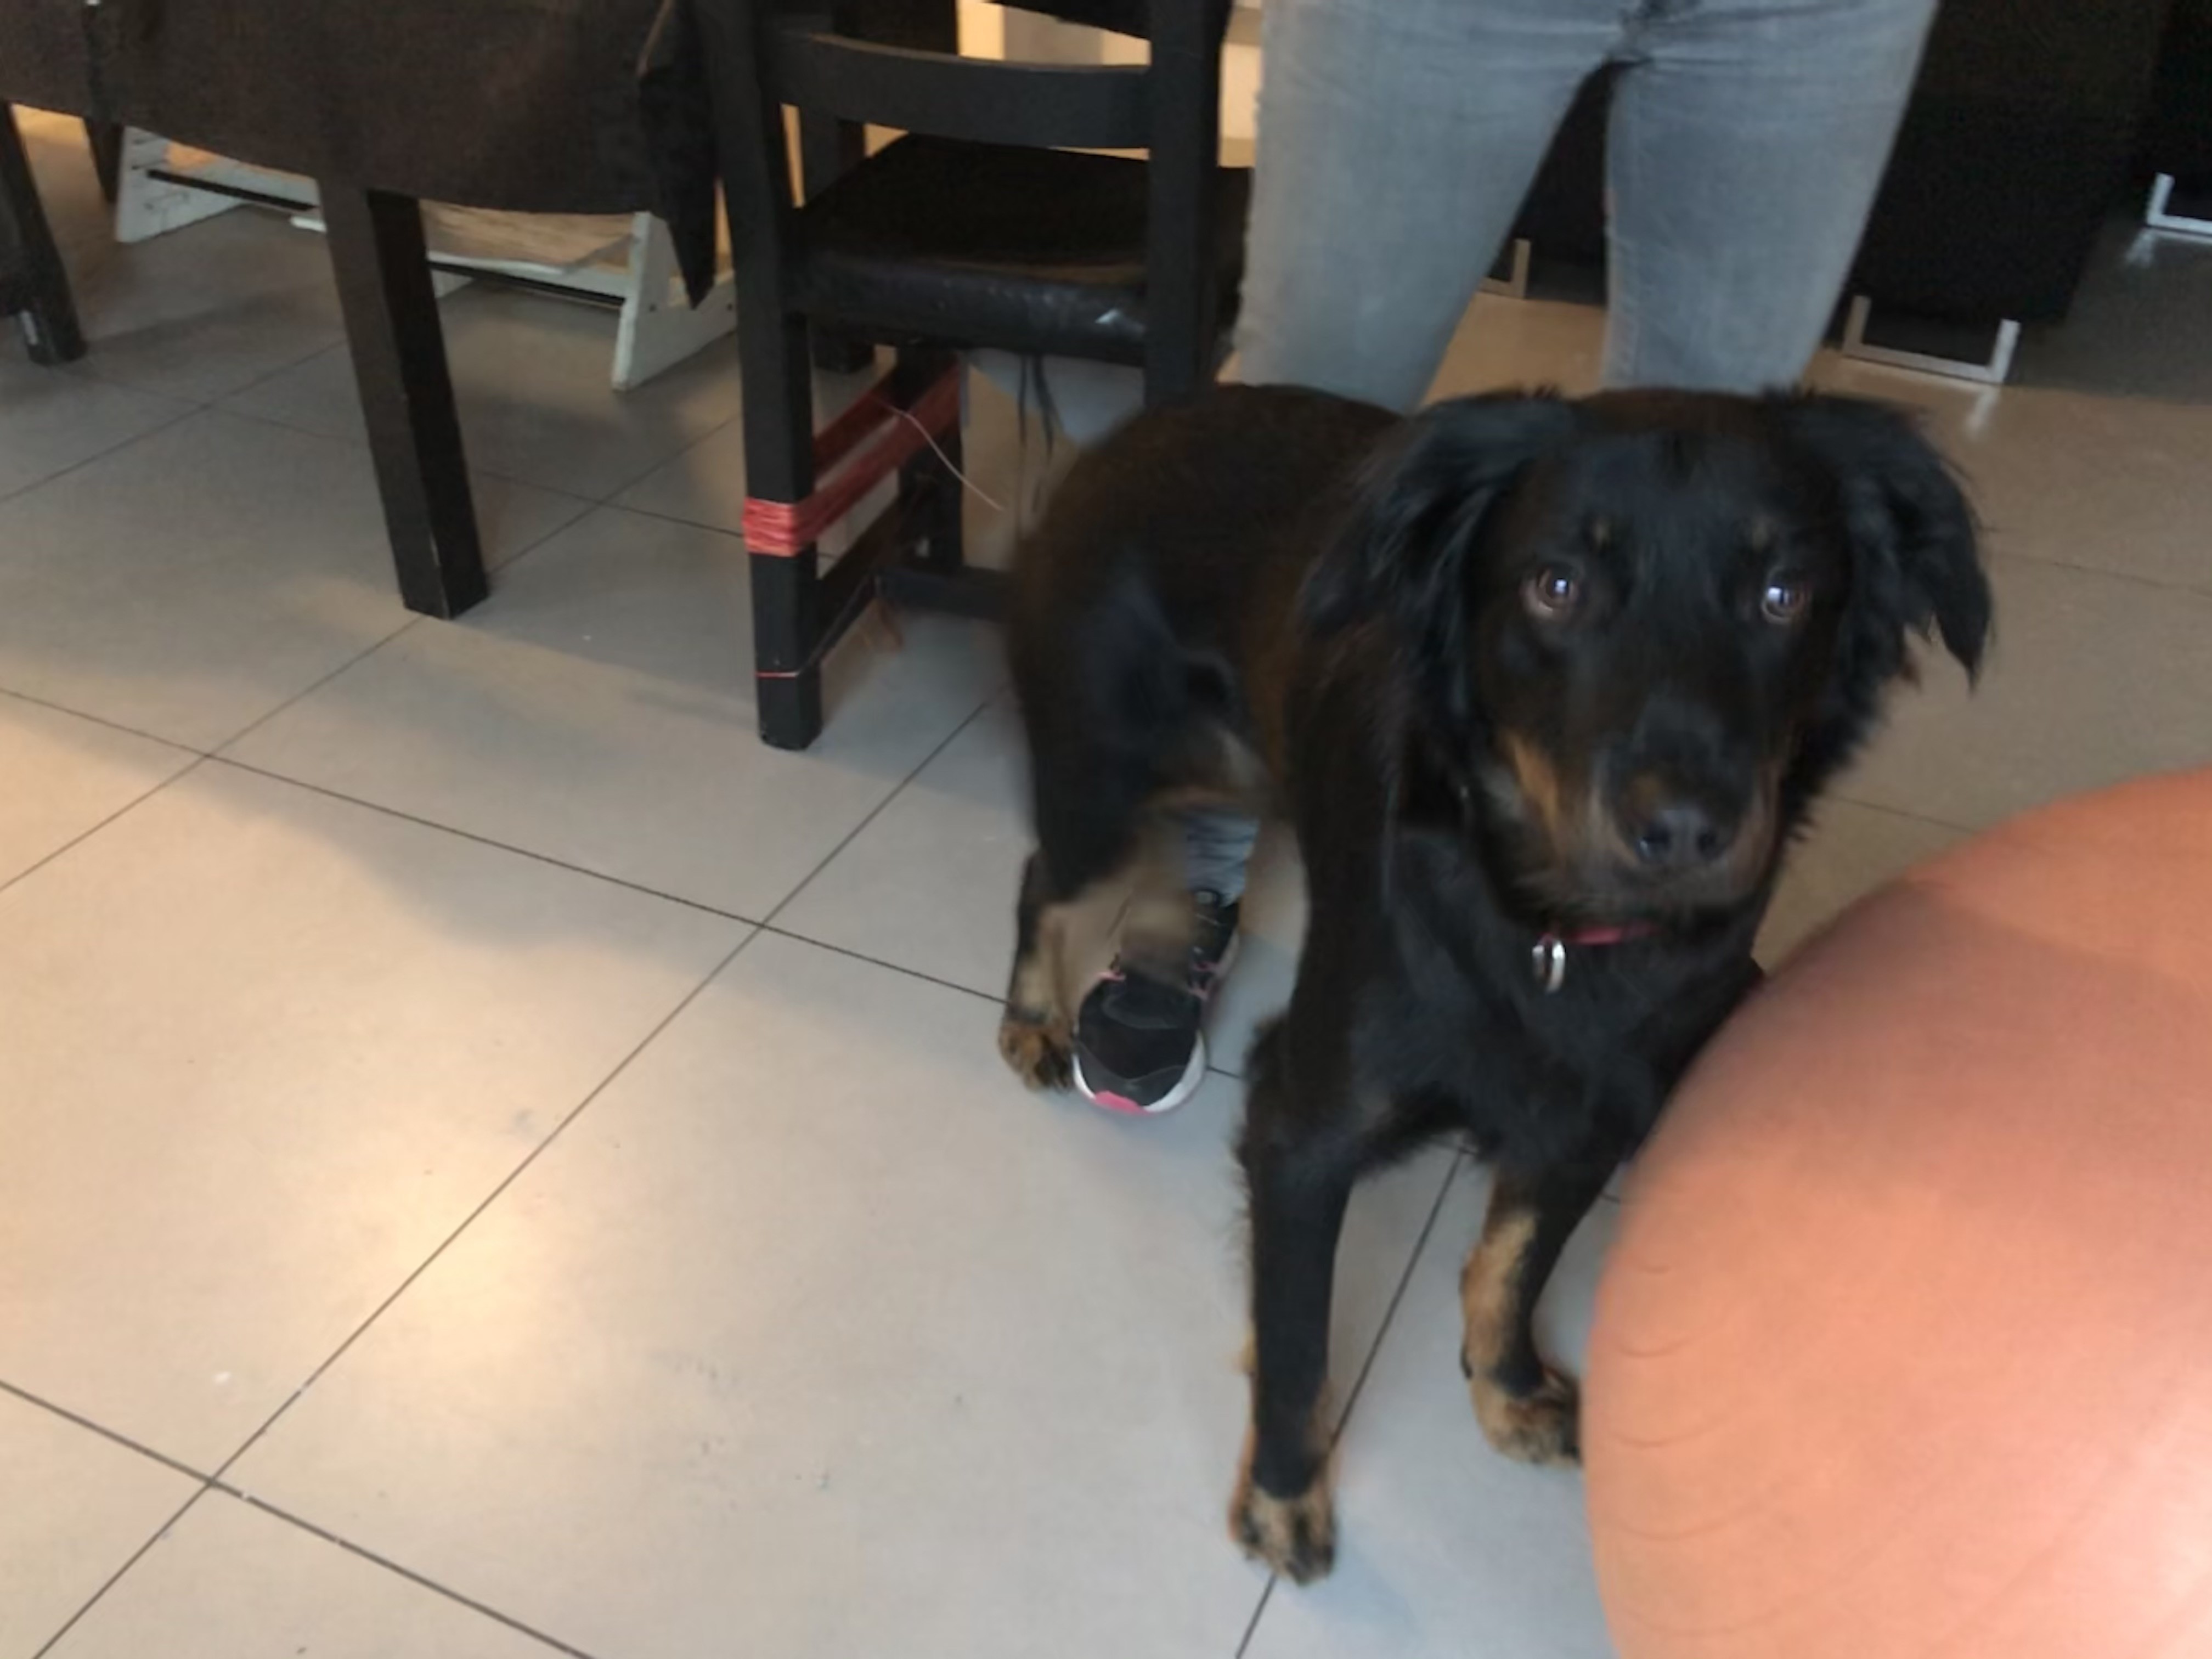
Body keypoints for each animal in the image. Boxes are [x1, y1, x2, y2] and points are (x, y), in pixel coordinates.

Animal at [994, 383, 1990, 1584]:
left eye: (1783, 595)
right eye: (1556, 587)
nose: (1685, 827)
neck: (1554, 931)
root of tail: (1141, 423)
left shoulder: (1593, 1112)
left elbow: (1513, 1260)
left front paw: (1507, 1388)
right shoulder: (1302, 1126)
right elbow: (1296, 1340)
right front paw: (1283, 1493)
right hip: (1105, 782)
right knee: (1045, 878)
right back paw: (1035, 1016)